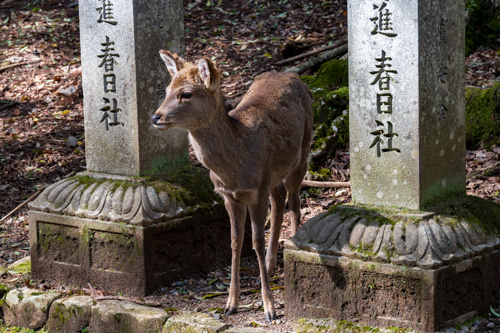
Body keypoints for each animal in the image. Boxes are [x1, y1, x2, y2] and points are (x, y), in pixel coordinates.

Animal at [151, 50, 312, 320]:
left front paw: (269, 308)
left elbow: (256, 241)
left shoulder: (256, 190)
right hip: (273, 174)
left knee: (295, 201)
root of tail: (293, 75)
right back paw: (270, 265)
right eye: (166, 90)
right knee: (280, 198)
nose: (156, 117)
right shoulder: (230, 195)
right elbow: (235, 242)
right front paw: (230, 303)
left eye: (186, 94)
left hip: (303, 151)